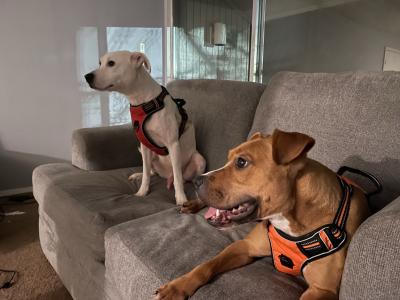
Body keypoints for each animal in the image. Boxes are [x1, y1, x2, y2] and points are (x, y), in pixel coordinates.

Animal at [83, 51, 205, 206]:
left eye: (111, 63)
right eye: (100, 63)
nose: (87, 77)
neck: (142, 101)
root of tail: (166, 175)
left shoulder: (173, 145)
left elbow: (178, 177)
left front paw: (181, 198)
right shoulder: (145, 146)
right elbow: (146, 172)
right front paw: (142, 191)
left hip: (199, 160)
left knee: (181, 177)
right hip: (144, 152)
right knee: (151, 171)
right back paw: (138, 175)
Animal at [155, 129, 370, 300]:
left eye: (241, 162)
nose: (197, 180)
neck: (291, 219)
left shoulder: (322, 290)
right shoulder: (243, 246)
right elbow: (205, 266)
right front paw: (177, 287)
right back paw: (190, 204)